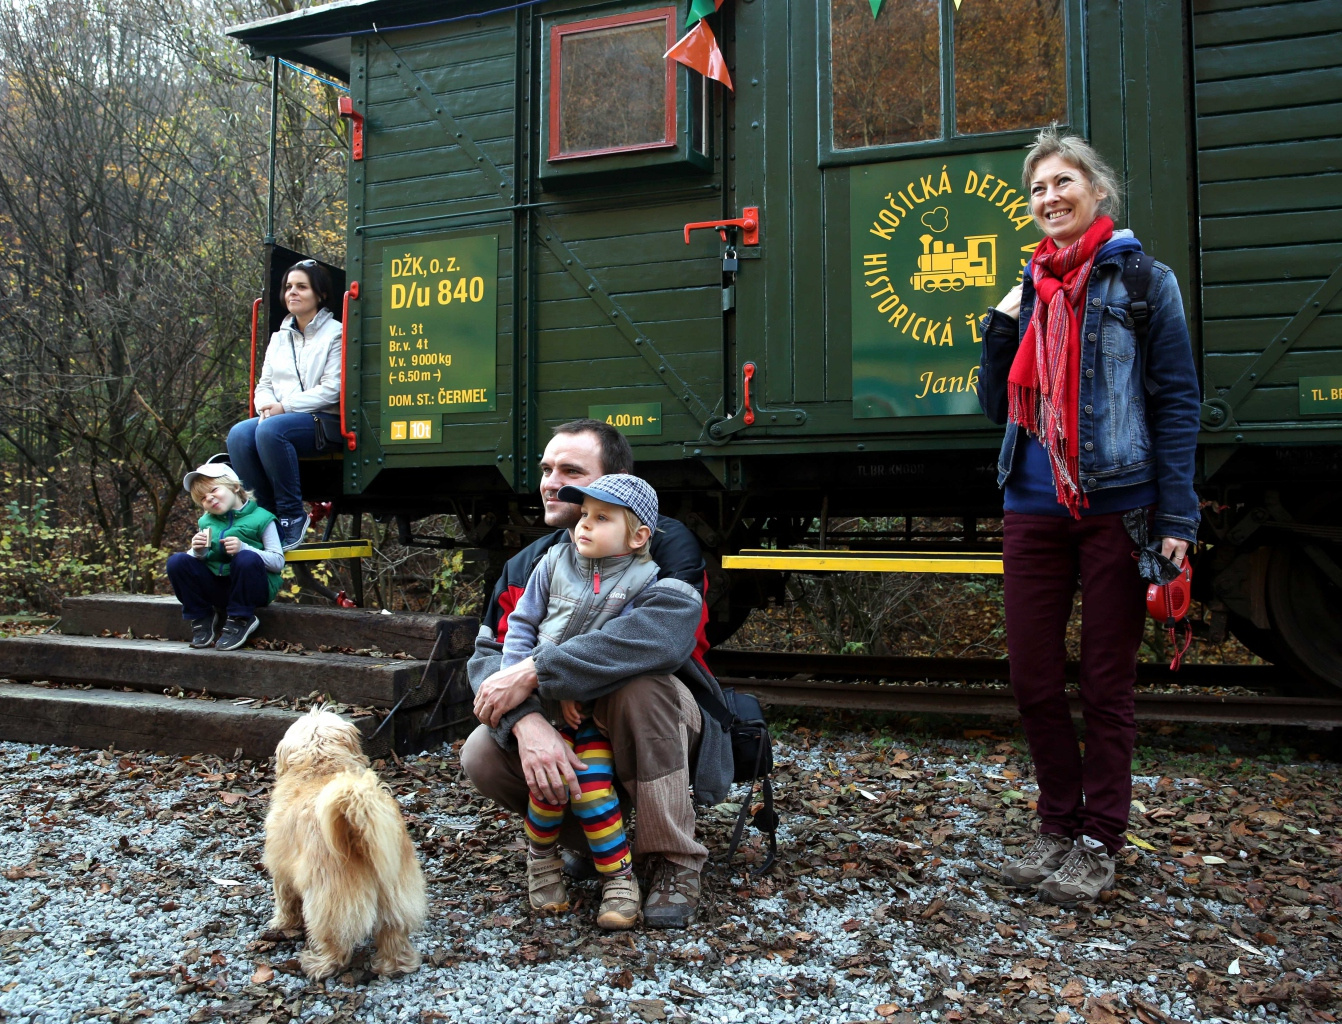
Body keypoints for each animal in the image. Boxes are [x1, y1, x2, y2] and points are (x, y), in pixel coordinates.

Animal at [263, 708, 426, 979]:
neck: (321, 769)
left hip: (327, 901)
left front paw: (281, 923)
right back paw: (393, 965)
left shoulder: (280, 868)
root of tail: (356, 826)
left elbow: (285, 900)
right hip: (395, 894)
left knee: (336, 942)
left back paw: (318, 964)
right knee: (393, 934)